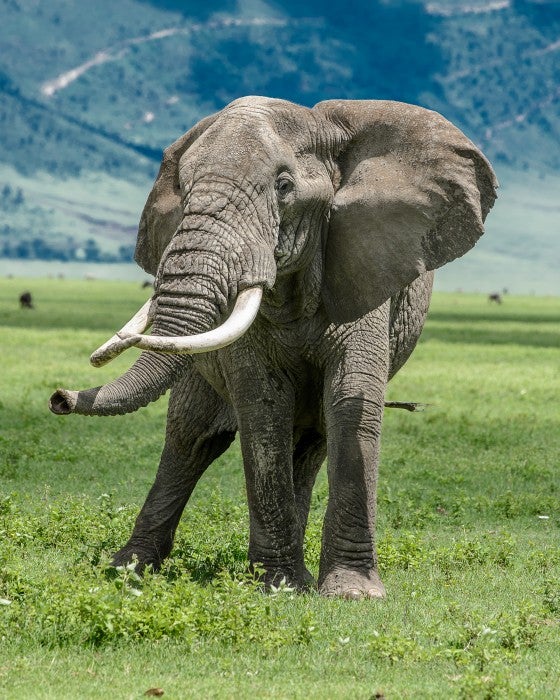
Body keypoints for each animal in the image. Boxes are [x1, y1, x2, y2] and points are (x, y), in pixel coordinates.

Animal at [47, 95, 494, 600]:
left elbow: (350, 404)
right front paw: (279, 585)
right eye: (183, 188)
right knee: (190, 440)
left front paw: (350, 593)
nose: (59, 397)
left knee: (311, 443)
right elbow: (262, 408)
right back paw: (130, 569)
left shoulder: (364, 264)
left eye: (284, 187)